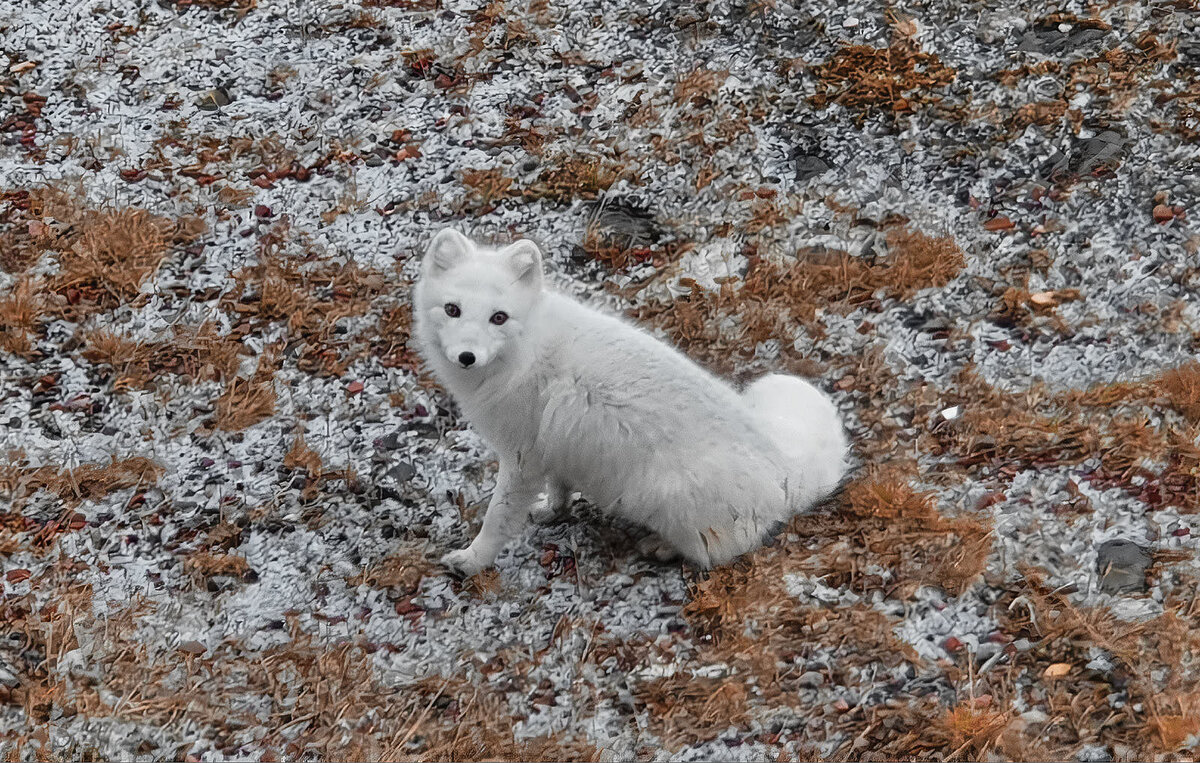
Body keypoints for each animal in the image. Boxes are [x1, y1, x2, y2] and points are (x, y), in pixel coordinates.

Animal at [417, 229, 849, 575]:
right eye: (452, 310)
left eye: (499, 318)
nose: (467, 356)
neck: (524, 353)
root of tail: (784, 471)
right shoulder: (554, 445)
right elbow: (560, 485)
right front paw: (553, 510)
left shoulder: (522, 458)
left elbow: (498, 519)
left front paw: (471, 561)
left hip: (664, 498)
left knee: (721, 551)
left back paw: (662, 547)